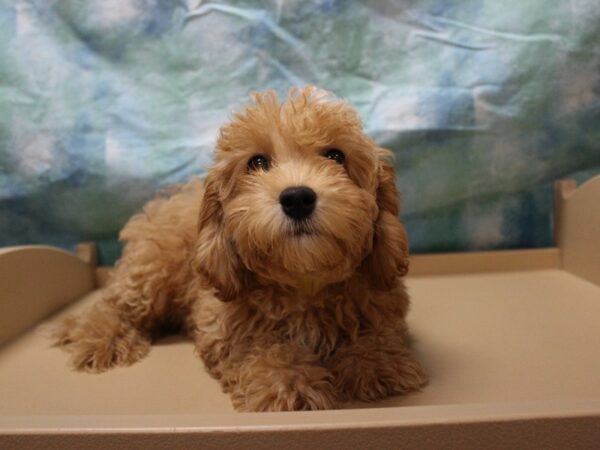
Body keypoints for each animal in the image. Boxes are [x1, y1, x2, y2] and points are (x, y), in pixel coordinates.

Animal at [52, 87, 426, 412]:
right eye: (257, 162)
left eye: (336, 156)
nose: (297, 198)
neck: (305, 283)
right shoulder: (222, 325)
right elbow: (260, 348)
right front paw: (287, 381)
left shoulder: (380, 299)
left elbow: (379, 330)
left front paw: (376, 363)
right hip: (151, 271)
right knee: (112, 306)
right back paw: (101, 338)